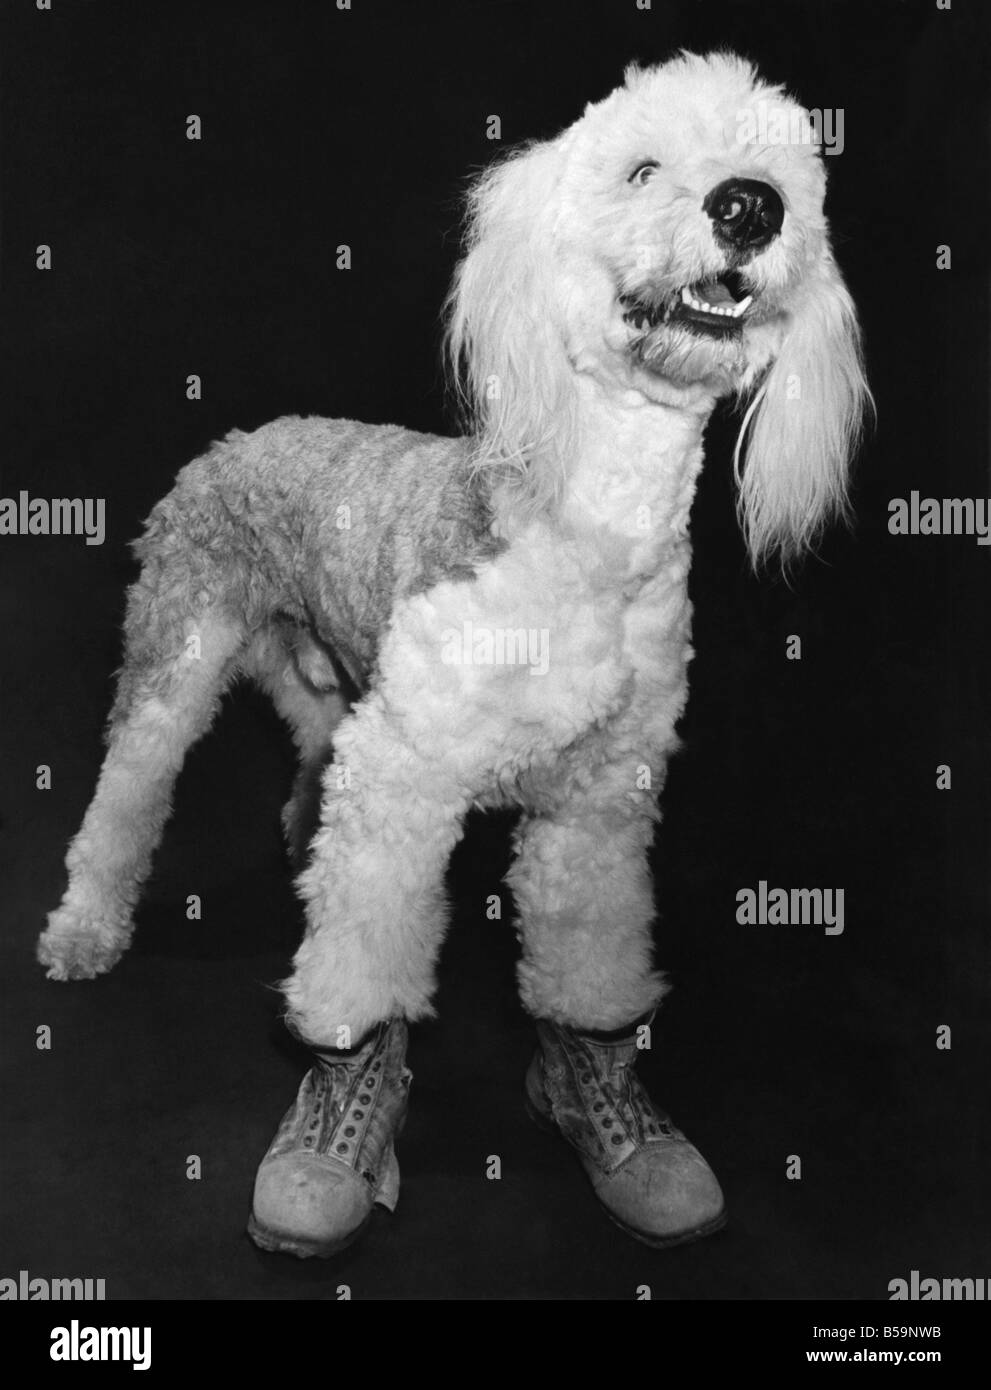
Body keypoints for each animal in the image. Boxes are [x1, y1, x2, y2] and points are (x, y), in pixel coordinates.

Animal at [38, 51, 867, 1251]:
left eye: (788, 179)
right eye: (641, 167)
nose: (748, 207)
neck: (587, 539)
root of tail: (238, 436)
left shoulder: (600, 793)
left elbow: (585, 952)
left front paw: (604, 1088)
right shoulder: (402, 770)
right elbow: (363, 949)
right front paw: (343, 1081)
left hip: (327, 668)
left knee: (308, 755)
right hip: (177, 651)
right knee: (125, 795)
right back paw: (83, 932)